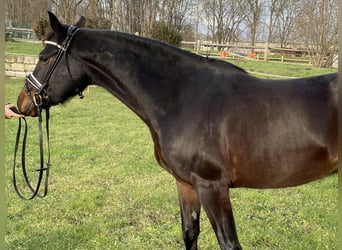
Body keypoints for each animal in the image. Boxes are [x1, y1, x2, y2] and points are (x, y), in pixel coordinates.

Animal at [16, 12, 336, 250]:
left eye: (44, 57)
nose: (22, 102)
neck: (182, 98)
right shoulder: (186, 184)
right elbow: (189, 233)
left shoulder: (212, 187)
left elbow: (228, 243)